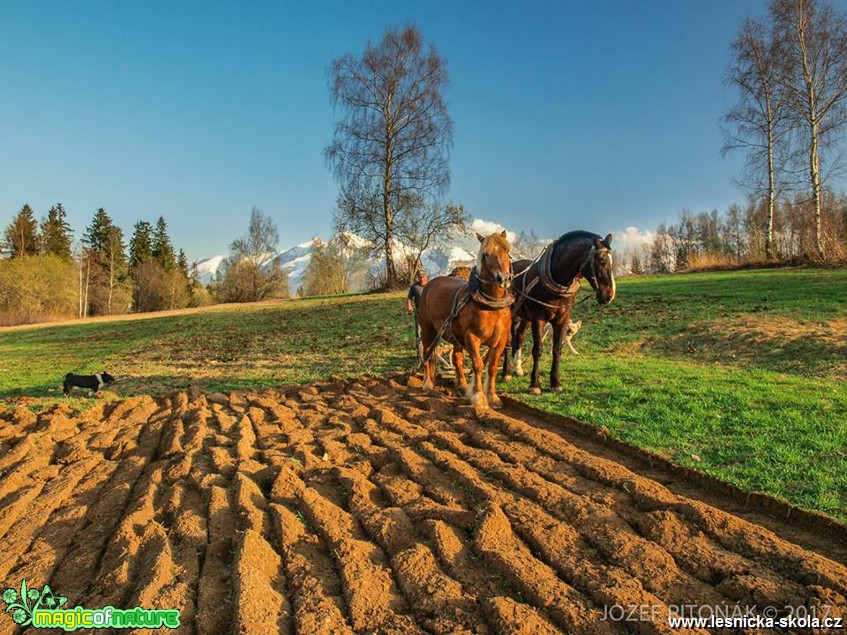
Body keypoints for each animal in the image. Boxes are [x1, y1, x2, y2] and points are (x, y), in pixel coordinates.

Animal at [416, 231, 510, 410]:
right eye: (486, 254)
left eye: (507, 251)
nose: (504, 278)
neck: (491, 305)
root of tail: (431, 282)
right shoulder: (471, 337)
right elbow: (478, 365)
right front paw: (479, 397)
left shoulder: (500, 341)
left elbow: (492, 367)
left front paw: (493, 397)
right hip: (427, 329)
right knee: (427, 354)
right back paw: (427, 383)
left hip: (455, 335)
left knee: (456, 359)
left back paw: (462, 386)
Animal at [504, 231, 616, 392]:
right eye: (601, 260)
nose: (610, 295)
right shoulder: (538, 319)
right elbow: (537, 349)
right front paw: (535, 385)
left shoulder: (562, 319)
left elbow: (557, 349)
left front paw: (556, 383)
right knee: (506, 341)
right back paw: (506, 373)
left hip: (525, 317)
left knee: (518, 336)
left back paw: (517, 368)